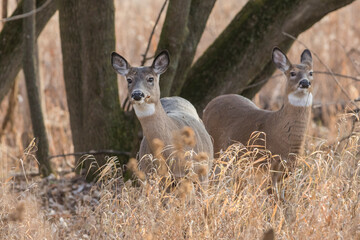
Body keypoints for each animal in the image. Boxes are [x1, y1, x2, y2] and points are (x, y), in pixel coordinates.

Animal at [204, 47, 314, 184]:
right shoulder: (263, 164)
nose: (304, 82)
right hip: (215, 146)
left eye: (311, 73)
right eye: (292, 73)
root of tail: (208, 105)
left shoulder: (287, 169)